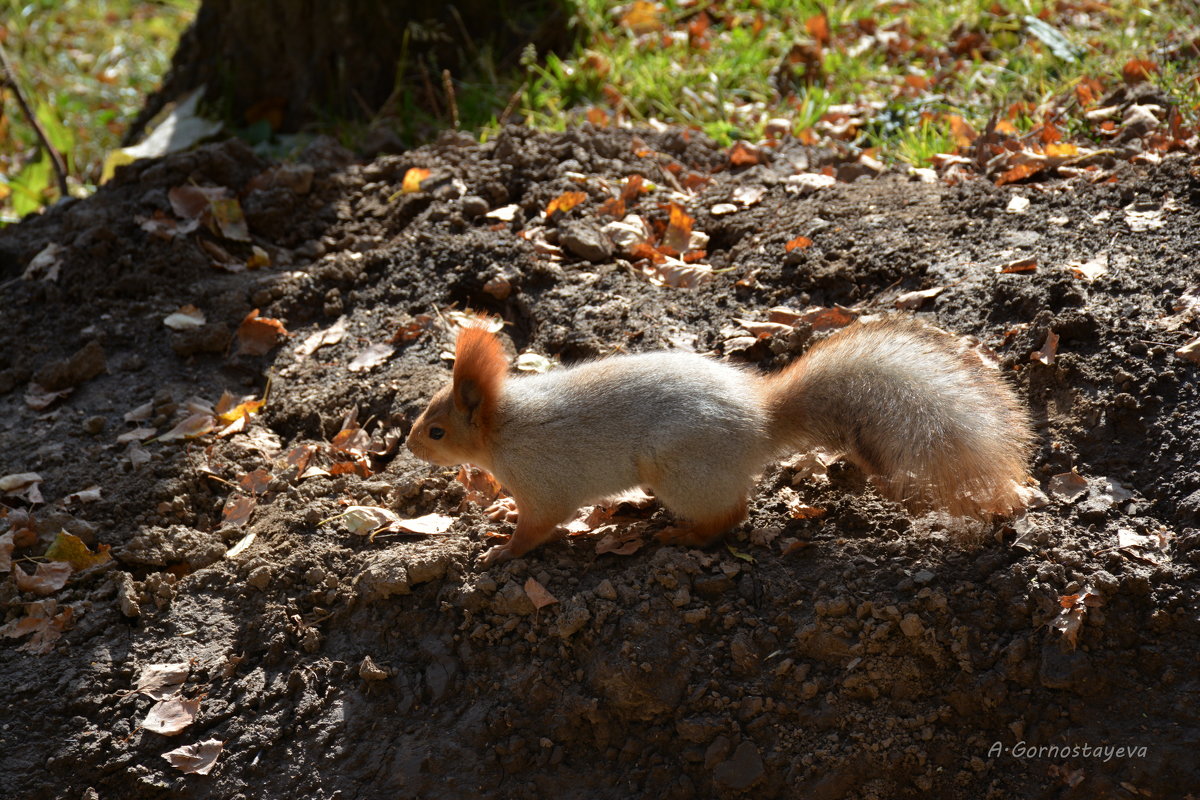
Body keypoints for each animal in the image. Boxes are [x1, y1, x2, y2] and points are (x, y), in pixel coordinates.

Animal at [403, 316, 1032, 566]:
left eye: (437, 430)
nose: (409, 447)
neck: (505, 429)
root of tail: (759, 421)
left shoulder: (543, 484)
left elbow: (536, 527)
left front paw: (500, 551)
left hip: (681, 472)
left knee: (730, 516)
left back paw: (682, 535)